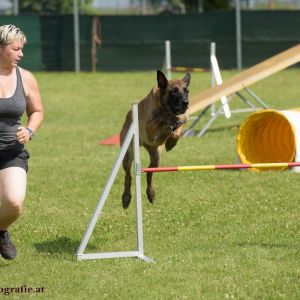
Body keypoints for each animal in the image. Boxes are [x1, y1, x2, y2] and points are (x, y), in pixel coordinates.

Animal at [119, 69, 190, 209]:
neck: (164, 108)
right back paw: (126, 197)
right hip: (128, 155)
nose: (186, 103)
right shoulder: (149, 129)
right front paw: (169, 124)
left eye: (186, 90)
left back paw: (151, 193)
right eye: (174, 91)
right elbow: (163, 120)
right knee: (128, 176)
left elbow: (179, 126)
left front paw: (171, 142)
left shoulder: (182, 119)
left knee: (149, 174)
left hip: (156, 158)